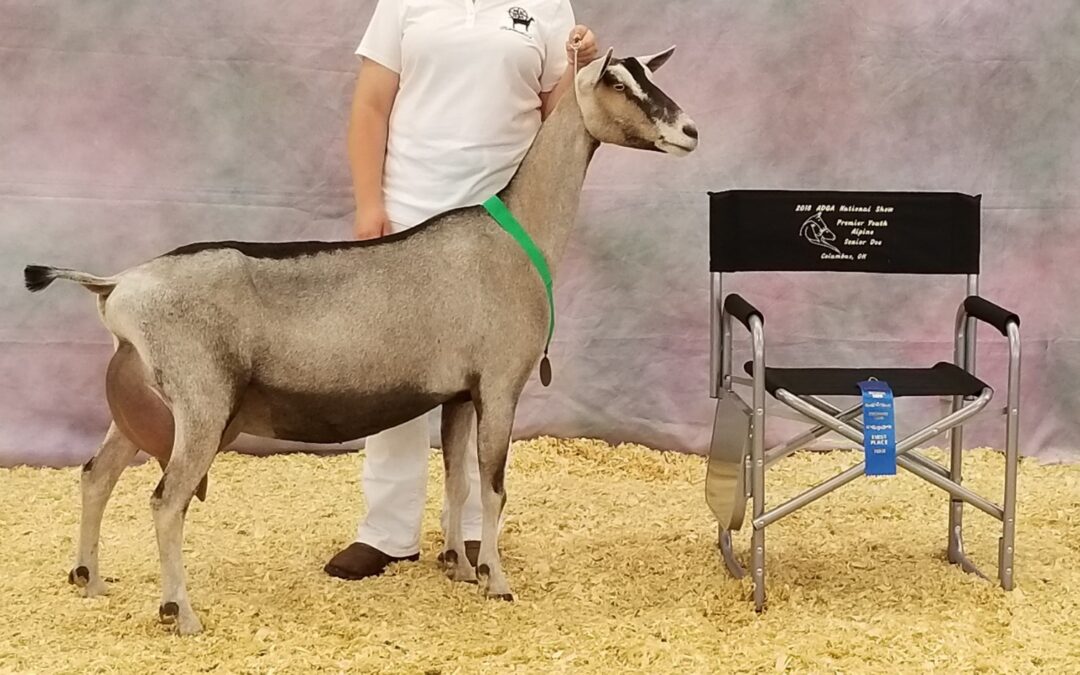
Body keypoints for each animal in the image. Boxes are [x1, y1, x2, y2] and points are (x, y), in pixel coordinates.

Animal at [25, 46, 704, 630]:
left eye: (651, 74)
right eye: (619, 82)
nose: (690, 132)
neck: (514, 236)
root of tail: (117, 285)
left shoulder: (460, 394)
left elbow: (457, 482)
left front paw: (458, 566)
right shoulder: (501, 385)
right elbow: (493, 487)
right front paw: (497, 581)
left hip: (144, 405)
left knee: (96, 474)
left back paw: (89, 580)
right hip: (201, 406)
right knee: (167, 501)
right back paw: (181, 614)